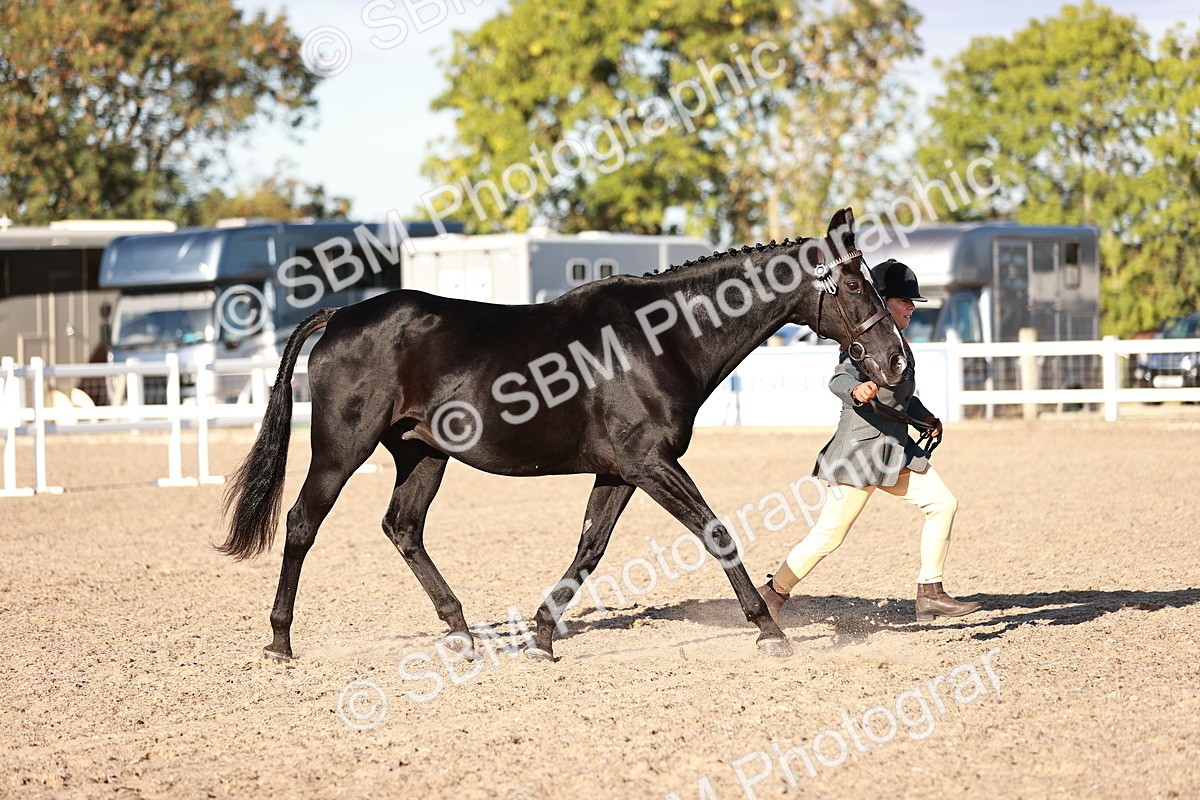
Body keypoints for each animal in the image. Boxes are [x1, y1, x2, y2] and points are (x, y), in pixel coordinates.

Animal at [219, 208, 909, 661]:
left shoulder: (620, 471)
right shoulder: (651, 464)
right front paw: (769, 630)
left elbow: (589, 548)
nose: (896, 360)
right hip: (341, 450)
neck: (660, 337)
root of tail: (341, 316)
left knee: (402, 528)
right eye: (853, 284)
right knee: (302, 524)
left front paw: (543, 635)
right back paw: (280, 640)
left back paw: (462, 632)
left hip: (423, 454)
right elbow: (714, 533)